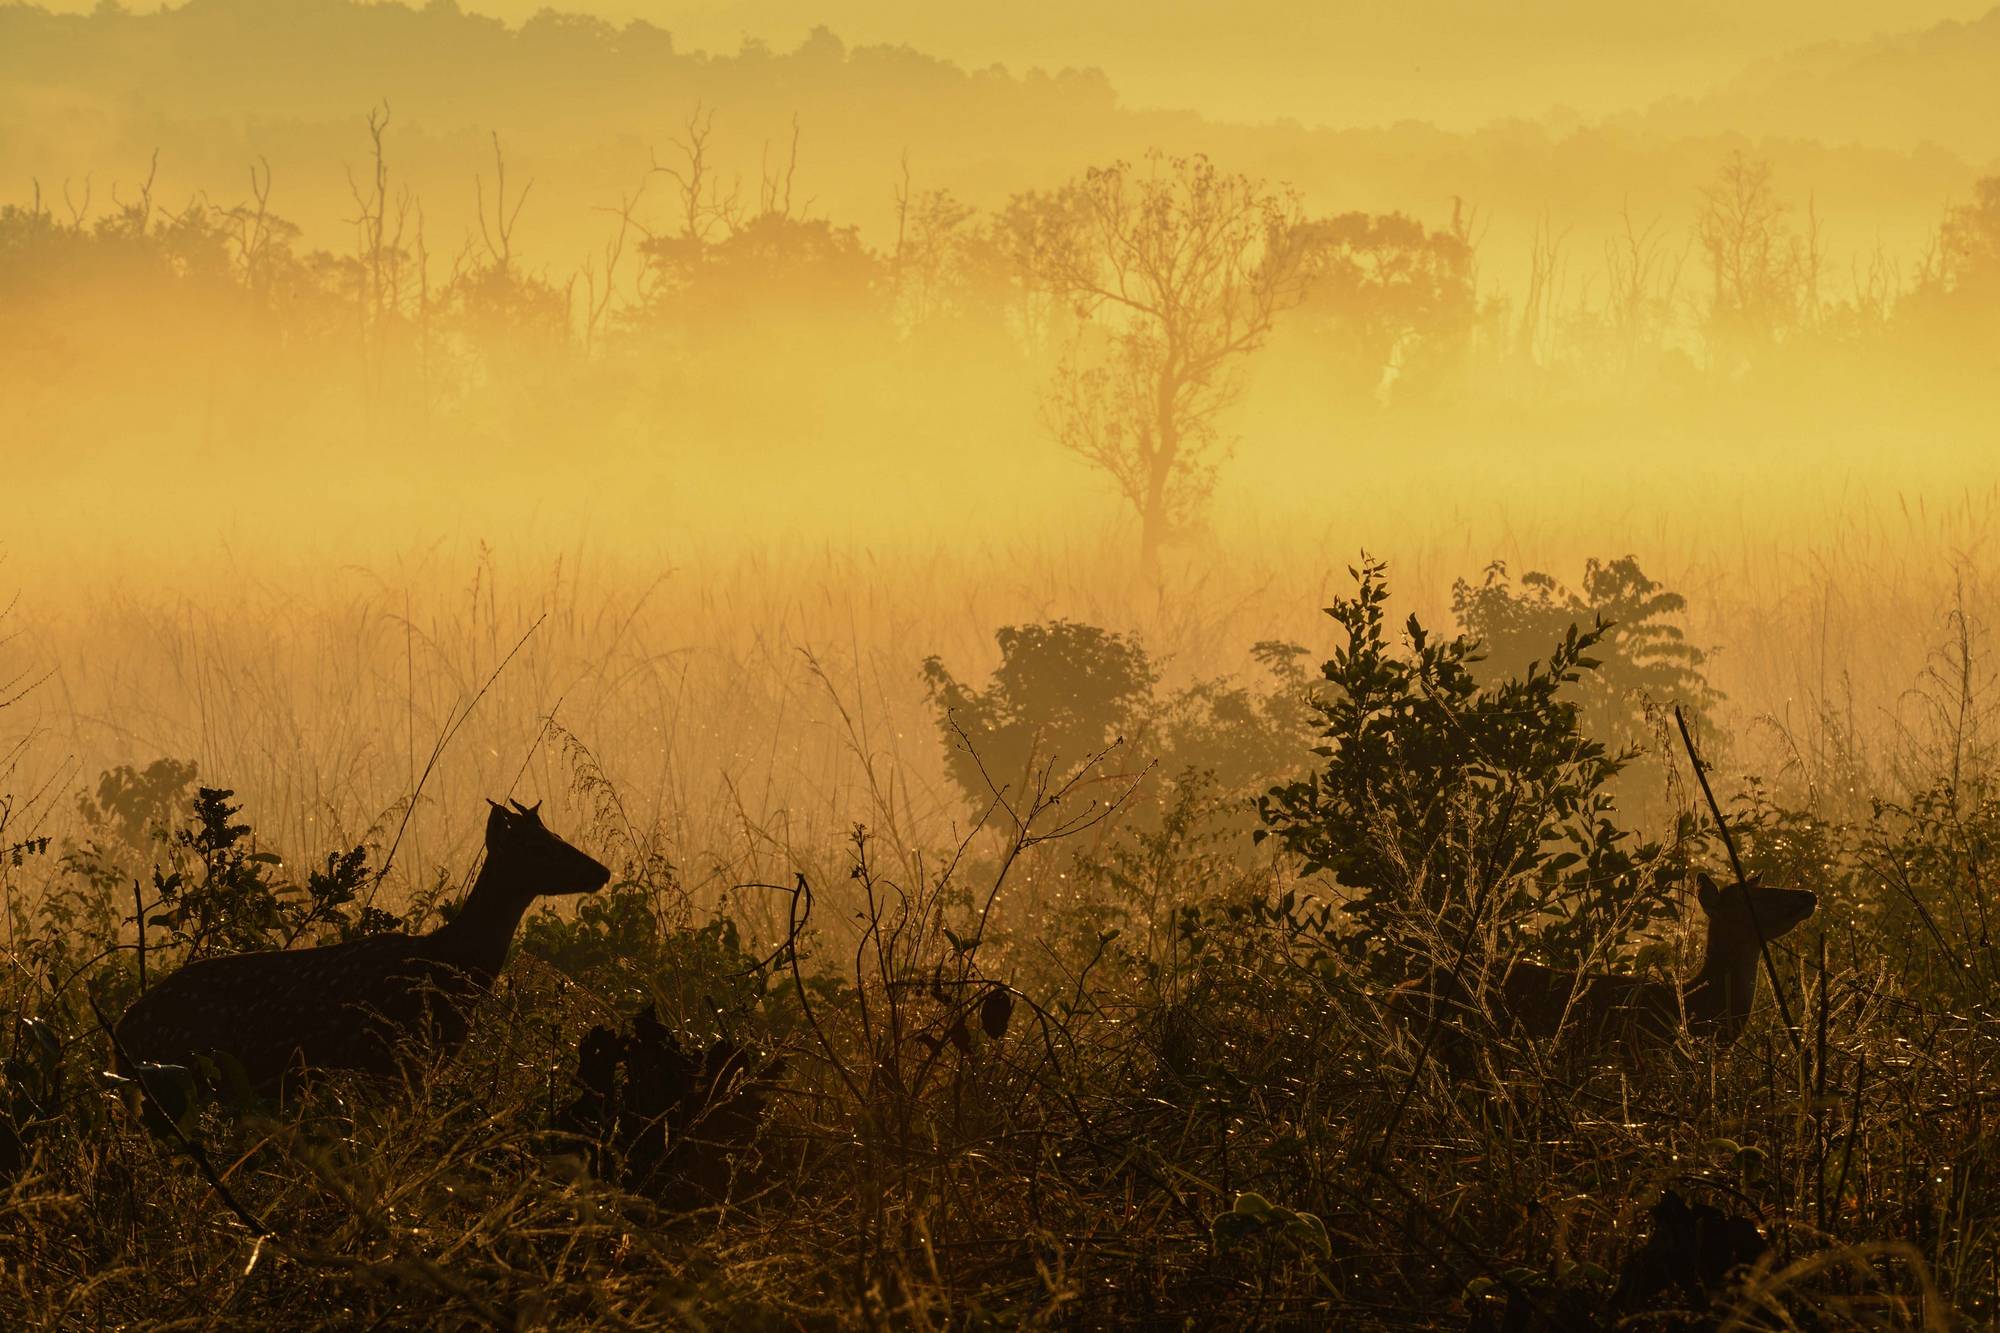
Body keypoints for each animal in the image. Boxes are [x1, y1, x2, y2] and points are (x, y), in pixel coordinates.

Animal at [114, 800, 612, 1088]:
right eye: (540, 847)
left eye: (555, 835)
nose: (602, 870)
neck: (451, 967)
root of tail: (121, 1031)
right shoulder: (387, 1063)